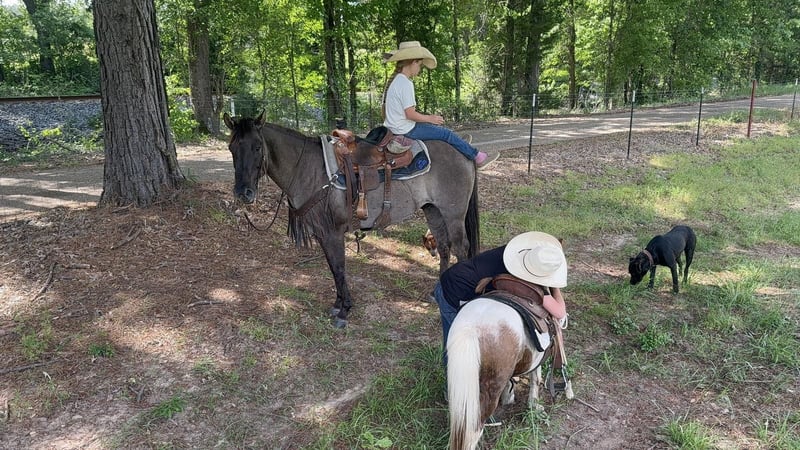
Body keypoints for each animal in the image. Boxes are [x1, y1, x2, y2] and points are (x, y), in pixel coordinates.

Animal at [223, 112, 479, 328]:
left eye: (257, 147)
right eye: (231, 147)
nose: (243, 193)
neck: (309, 169)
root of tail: (465, 150)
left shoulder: (333, 232)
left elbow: (339, 267)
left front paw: (345, 310)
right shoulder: (322, 233)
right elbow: (333, 267)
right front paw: (338, 304)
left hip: (453, 214)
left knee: (461, 248)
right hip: (432, 210)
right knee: (444, 247)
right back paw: (438, 291)